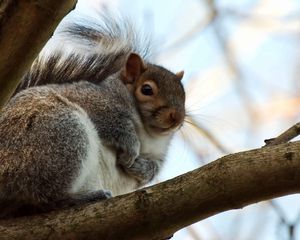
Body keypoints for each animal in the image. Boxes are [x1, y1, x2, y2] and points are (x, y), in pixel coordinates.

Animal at [0, 14, 185, 218]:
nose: (177, 118)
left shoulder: (158, 154)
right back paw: (81, 198)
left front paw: (142, 168)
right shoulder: (92, 99)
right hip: (60, 134)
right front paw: (131, 145)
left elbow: (153, 169)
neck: (148, 134)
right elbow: (112, 122)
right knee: (46, 195)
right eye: (146, 90)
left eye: (183, 95)